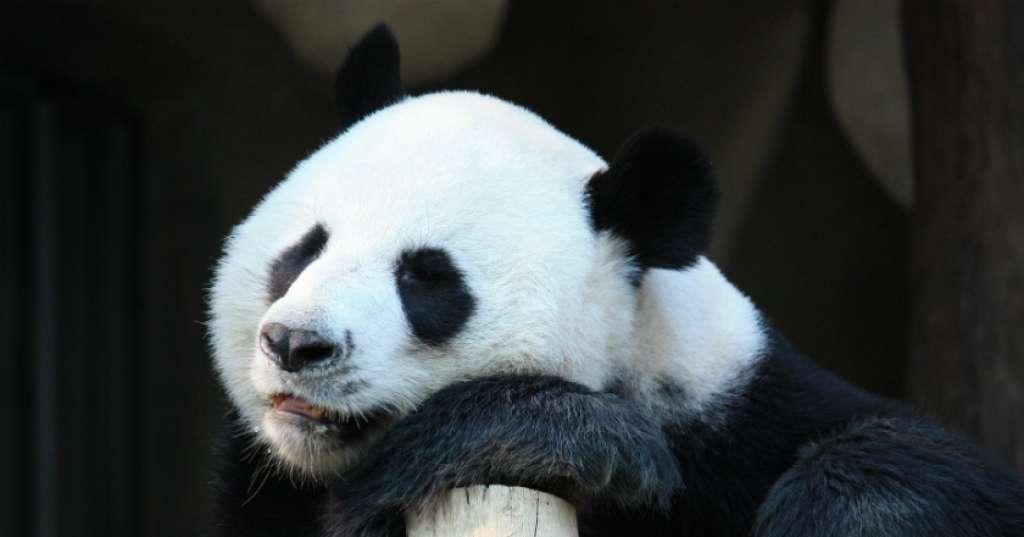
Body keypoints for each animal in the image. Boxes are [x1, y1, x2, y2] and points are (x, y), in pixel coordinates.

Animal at [208, 24, 1024, 537]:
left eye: (428, 279)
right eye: (304, 250)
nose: (296, 344)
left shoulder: (739, 417)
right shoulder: (265, 489)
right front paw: (581, 438)